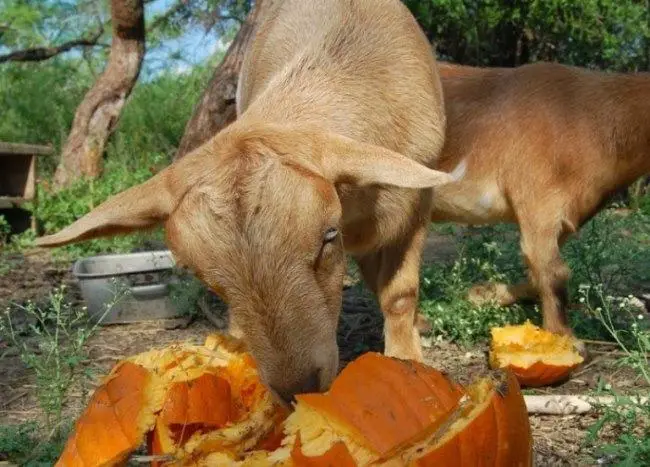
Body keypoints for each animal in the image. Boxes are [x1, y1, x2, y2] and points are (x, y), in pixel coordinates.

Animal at [35, 0, 452, 403]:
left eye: (327, 236)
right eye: (198, 272)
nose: (297, 387)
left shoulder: (414, 207)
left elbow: (399, 294)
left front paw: (406, 361)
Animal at [433, 61, 650, 354]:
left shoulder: (563, 217)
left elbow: (537, 273)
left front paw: (481, 294)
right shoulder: (538, 201)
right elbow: (552, 271)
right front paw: (565, 339)